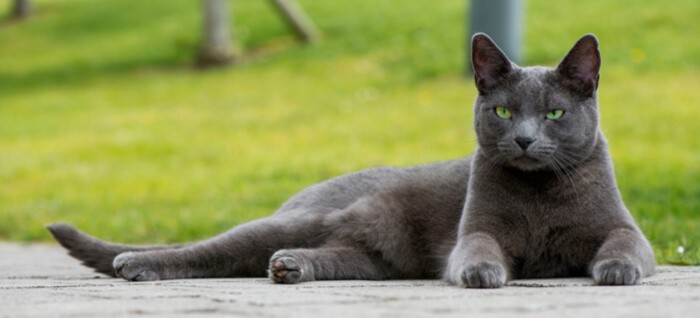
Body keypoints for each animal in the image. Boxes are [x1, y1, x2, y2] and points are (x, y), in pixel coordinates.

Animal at [49, 34, 656, 288]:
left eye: (554, 114)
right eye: (504, 111)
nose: (526, 140)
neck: (539, 196)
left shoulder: (626, 228)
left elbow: (626, 245)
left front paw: (616, 269)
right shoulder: (477, 228)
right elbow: (480, 248)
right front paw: (483, 272)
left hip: (378, 258)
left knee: (320, 256)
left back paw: (291, 267)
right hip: (303, 218)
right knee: (215, 249)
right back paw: (136, 263)